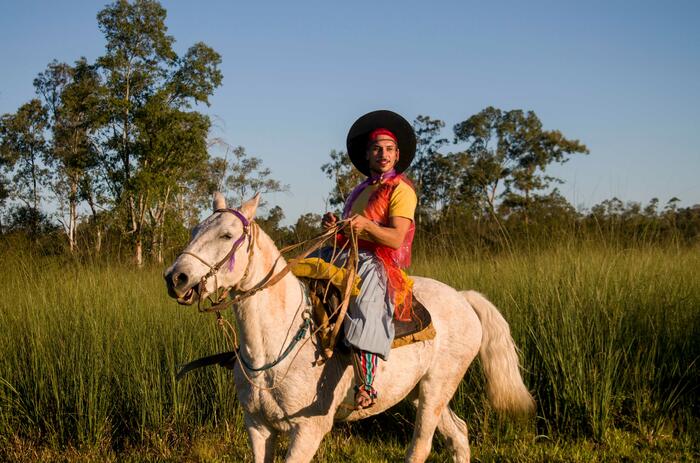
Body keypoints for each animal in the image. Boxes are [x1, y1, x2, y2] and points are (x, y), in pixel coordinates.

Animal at [165, 194, 536, 463]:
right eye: (194, 231)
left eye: (227, 235)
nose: (176, 277)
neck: (273, 350)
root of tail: (462, 297)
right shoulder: (257, 427)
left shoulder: (308, 431)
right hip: (420, 392)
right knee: (459, 434)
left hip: (437, 387)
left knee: (421, 447)